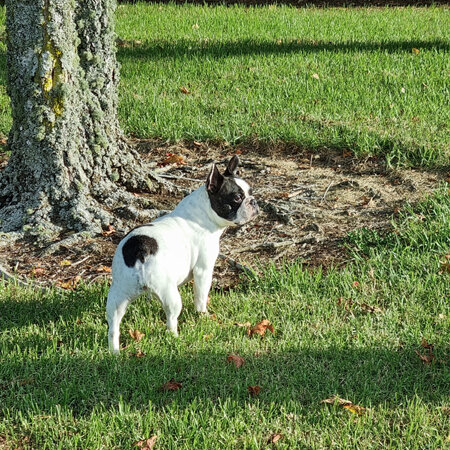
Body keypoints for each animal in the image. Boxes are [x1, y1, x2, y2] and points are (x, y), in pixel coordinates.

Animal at [106, 156, 258, 354]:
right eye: (237, 198)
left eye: (250, 192)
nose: (253, 201)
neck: (204, 212)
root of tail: (139, 249)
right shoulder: (203, 270)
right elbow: (201, 297)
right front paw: (203, 315)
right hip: (169, 293)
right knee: (171, 318)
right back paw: (175, 337)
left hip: (117, 294)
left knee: (113, 326)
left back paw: (114, 351)